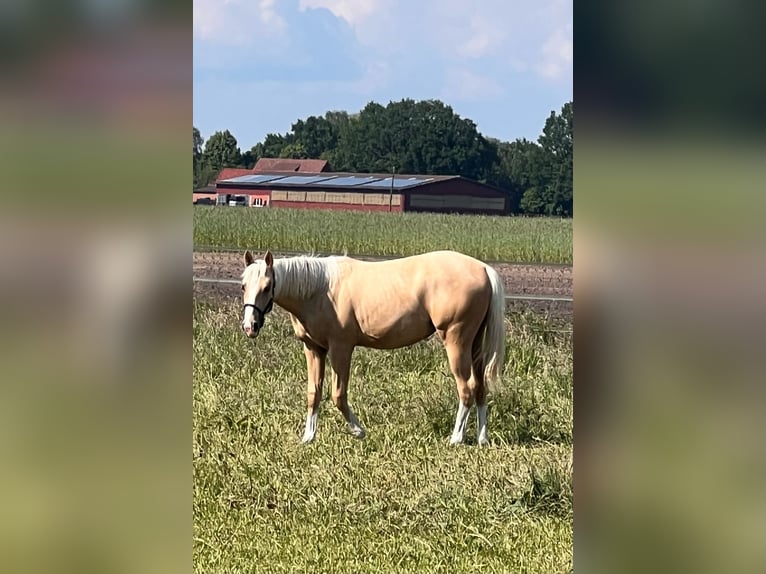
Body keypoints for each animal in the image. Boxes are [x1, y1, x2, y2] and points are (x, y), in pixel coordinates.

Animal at [238, 251, 504, 446]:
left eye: (267, 286)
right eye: (243, 286)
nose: (250, 326)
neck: (320, 289)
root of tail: (483, 268)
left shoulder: (341, 348)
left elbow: (338, 394)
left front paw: (358, 431)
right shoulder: (314, 349)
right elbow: (314, 393)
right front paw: (308, 437)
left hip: (456, 342)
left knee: (466, 388)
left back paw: (456, 438)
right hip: (474, 345)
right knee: (480, 387)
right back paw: (482, 438)